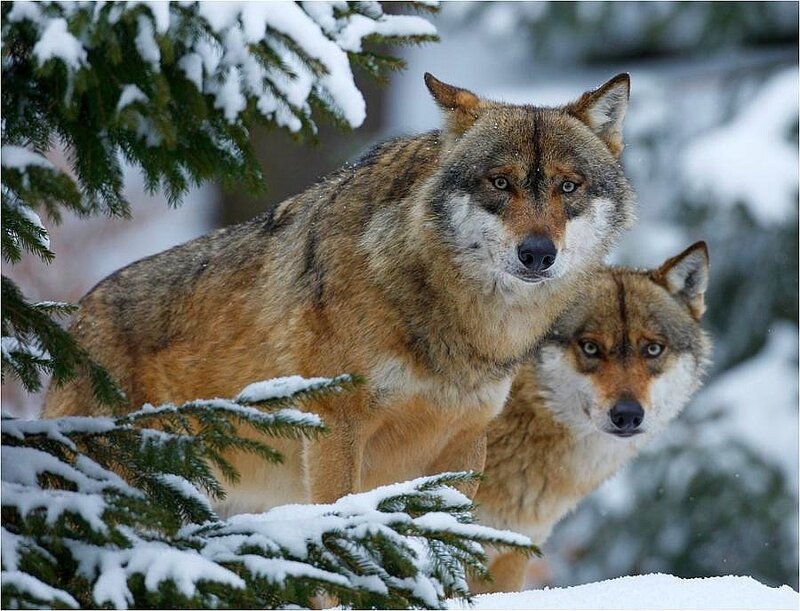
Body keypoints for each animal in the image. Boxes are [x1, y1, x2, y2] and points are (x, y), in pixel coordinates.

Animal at [45, 73, 636, 515]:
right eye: (500, 182)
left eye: (568, 186)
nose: (537, 253)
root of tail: (76, 322)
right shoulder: (336, 428)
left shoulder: (465, 444)